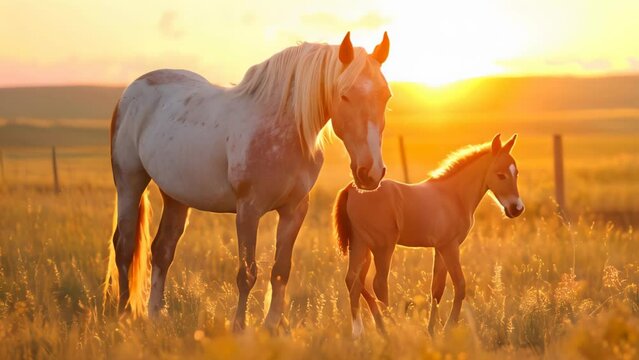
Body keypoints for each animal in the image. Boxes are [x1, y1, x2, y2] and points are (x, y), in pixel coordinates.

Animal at [104, 31, 392, 332]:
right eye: (345, 95)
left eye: (386, 96)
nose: (370, 173)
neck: (284, 130)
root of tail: (132, 90)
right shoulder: (248, 210)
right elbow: (247, 273)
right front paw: (240, 328)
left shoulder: (294, 211)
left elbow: (280, 271)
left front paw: (272, 326)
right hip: (129, 182)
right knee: (125, 245)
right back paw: (124, 315)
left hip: (176, 197)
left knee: (162, 250)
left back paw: (156, 315)